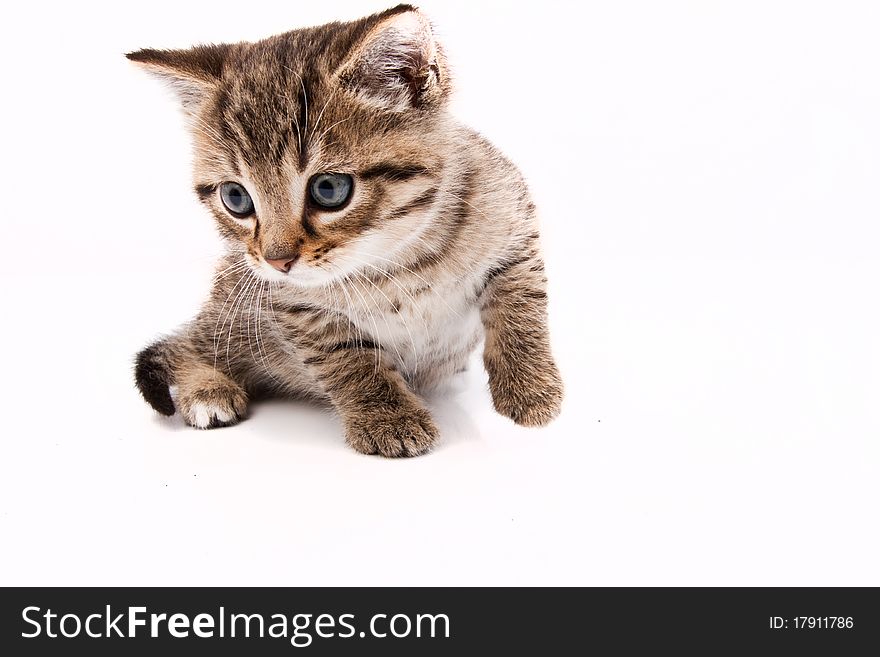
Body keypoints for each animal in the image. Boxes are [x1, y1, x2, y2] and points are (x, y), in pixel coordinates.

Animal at [129, 5, 564, 456]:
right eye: (236, 197)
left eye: (329, 189)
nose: (277, 260)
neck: (399, 259)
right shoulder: (294, 307)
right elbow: (348, 360)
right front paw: (387, 417)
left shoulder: (515, 228)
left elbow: (521, 308)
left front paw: (529, 387)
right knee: (184, 344)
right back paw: (207, 389)